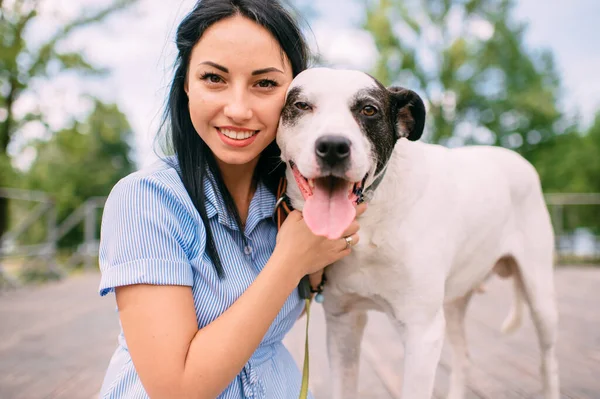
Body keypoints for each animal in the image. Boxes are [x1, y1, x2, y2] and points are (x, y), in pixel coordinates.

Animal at [276, 69, 556, 399]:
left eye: (368, 110)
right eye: (302, 105)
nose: (333, 146)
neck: (371, 223)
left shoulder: (422, 333)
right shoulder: (342, 323)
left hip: (540, 295)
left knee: (548, 360)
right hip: (454, 301)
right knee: (463, 356)